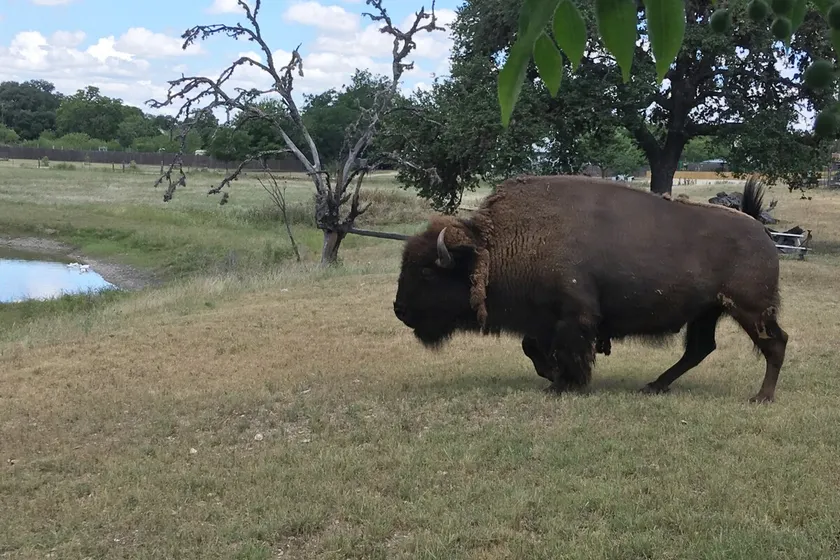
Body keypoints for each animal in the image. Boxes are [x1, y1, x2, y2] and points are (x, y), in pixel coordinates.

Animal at [392, 174, 788, 403]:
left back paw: (762, 397)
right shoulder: (543, 320)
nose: (399, 309)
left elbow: (569, 351)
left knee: (775, 344)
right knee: (700, 349)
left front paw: (564, 384)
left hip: (750, 309)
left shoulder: (573, 316)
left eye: (426, 272)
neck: (496, 246)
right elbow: (531, 347)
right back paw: (653, 386)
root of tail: (761, 230)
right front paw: (553, 378)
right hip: (707, 312)